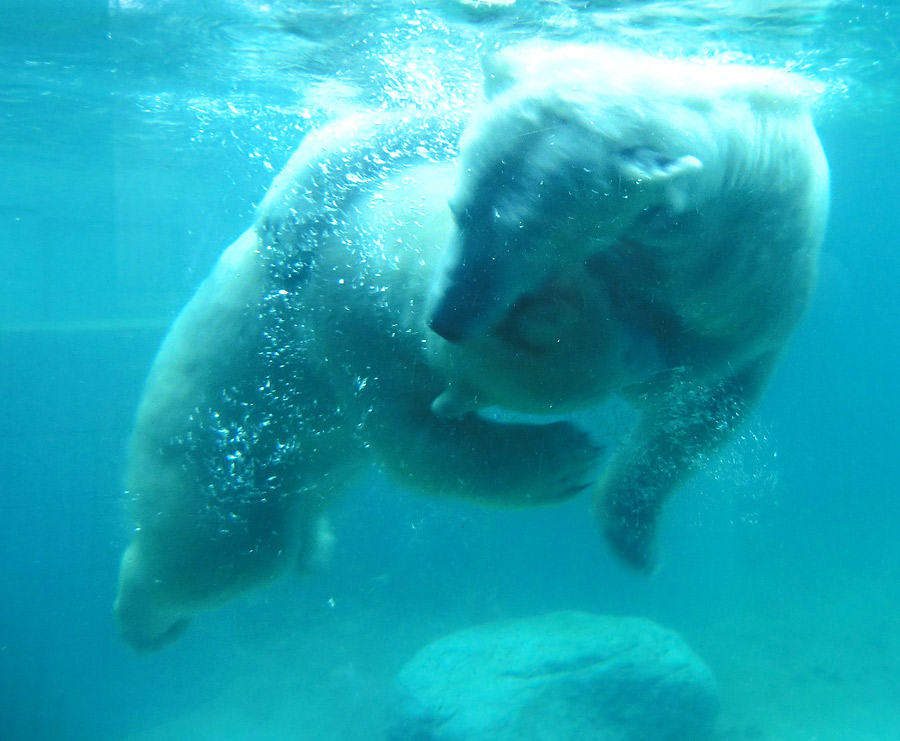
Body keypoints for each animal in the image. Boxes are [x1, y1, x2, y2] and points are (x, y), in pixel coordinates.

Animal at [114, 43, 828, 652]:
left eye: (539, 234)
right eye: (462, 209)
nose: (447, 318)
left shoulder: (744, 312)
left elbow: (695, 418)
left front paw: (630, 533)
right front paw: (567, 461)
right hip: (225, 444)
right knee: (221, 549)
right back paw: (141, 614)